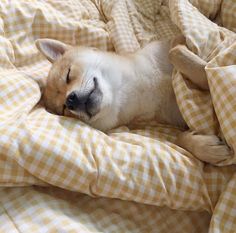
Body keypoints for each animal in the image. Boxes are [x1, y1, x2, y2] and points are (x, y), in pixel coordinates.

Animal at [36, 38, 231, 164]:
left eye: (68, 75)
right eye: (63, 110)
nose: (71, 100)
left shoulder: (168, 46)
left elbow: (176, 51)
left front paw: (210, 71)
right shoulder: (172, 120)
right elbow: (178, 138)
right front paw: (204, 147)